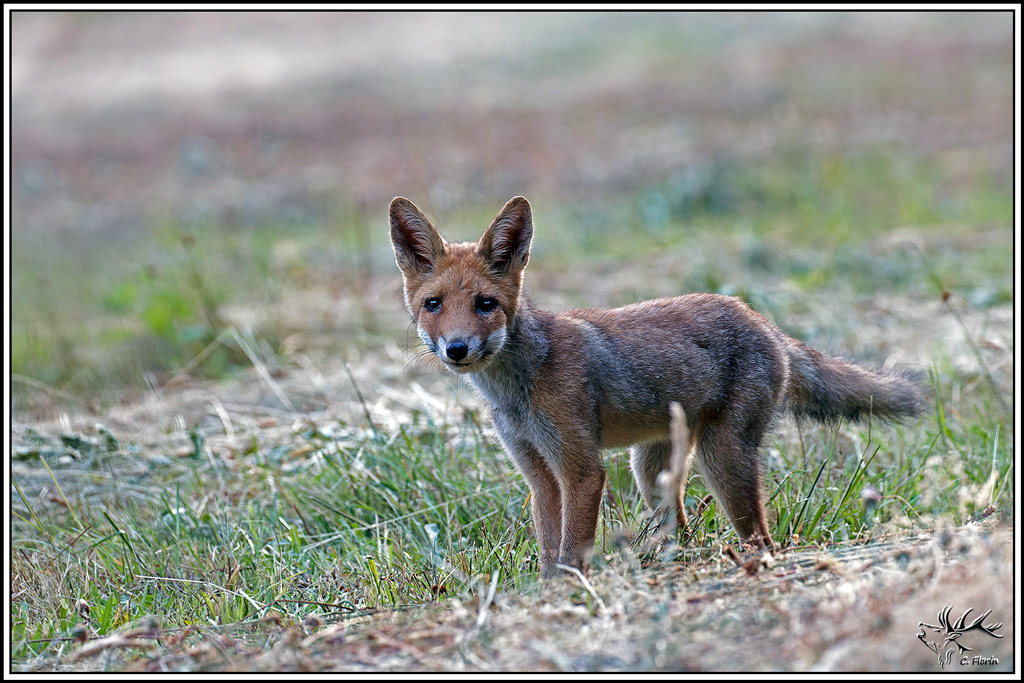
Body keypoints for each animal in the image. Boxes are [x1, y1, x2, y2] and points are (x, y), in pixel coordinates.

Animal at [389, 195, 925, 578]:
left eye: (486, 304)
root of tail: (762, 321)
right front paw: (546, 591)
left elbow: (571, 548)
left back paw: (756, 563)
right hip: (651, 473)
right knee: (682, 530)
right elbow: (548, 547)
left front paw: (571, 590)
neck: (519, 388)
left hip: (722, 459)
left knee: (760, 535)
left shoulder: (582, 469)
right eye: (434, 304)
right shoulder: (538, 472)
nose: (457, 349)